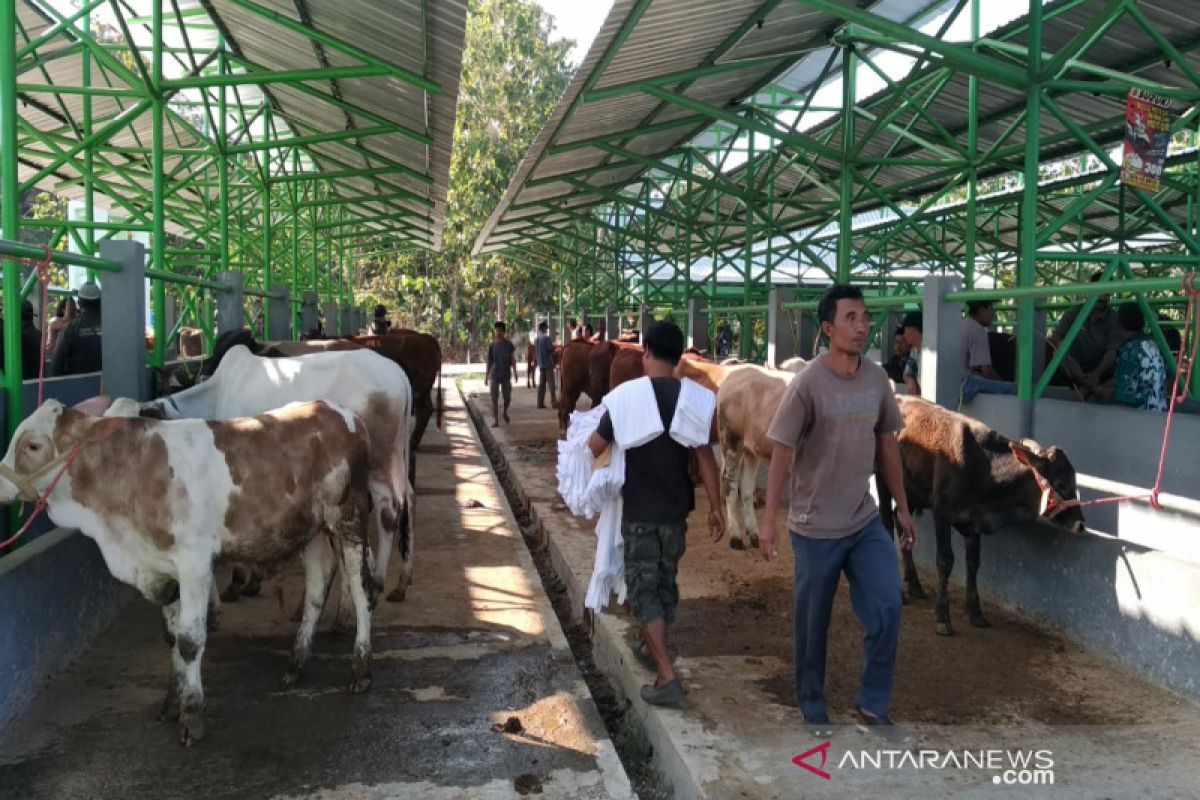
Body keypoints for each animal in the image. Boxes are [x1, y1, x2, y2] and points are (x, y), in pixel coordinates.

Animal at [0, 400, 374, 743]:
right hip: (309, 531)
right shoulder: (161, 568)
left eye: (32, 445)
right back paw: (296, 664)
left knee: (362, 590)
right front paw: (170, 702)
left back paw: (361, 669)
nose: (0, 484)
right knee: (317, 586)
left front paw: (191, 715)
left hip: (348, 520)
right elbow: (172, 638)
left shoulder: (194, 563)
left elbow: (190, 640)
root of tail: (340, 411)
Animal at [141, 345, 417, 599]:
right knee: (407, 497)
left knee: (387, 508)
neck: (218, 392)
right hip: (396, 454)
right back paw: (401, 582)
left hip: (379, 460)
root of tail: (397, 374)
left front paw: (241, 581)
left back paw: (379, 579)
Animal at [873, 398, 1089, 638]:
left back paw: (915, 585)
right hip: (884, 482)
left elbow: (973, 563)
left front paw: (976, 613)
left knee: (902, 525)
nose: (1081, 524)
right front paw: (943, 617)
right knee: (887, 523)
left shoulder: (974, 522)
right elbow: (945, 561)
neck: (984, 465)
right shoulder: (942, 511)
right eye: (1061, 483)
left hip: (909, 494)